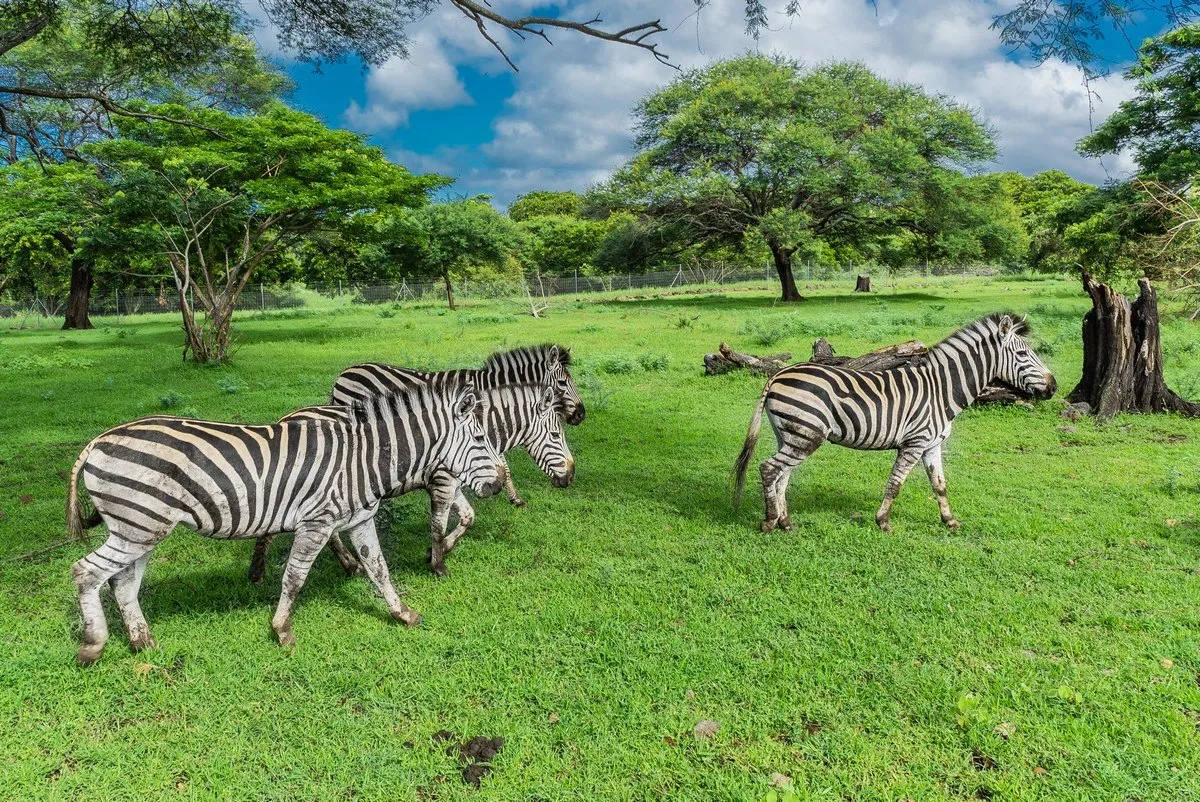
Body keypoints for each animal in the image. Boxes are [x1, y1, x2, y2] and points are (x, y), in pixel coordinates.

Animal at [66, 384, 506, 665]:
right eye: (481, 439)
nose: (500, 485)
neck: (363, 459)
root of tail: (98, 441)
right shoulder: (318, 521)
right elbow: (294, 578)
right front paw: (281, 631)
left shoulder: (359, 520)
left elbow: (379, 570)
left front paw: (403, 615)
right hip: (137, 524)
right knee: (85, 572)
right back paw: (93, 647)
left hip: (143, 529)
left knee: (122, 582)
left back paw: (143, 642)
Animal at [250, 381, 576, 580]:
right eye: (556, 435)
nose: (571, 477)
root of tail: (285, 419)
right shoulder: (443, 482)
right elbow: (438, 524)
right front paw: (438, 563)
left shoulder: (453, 483)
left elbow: (467, 518)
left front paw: (436, 551)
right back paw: (257, 573)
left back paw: (350, 564)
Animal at [734, 314, 1056, 533]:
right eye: (1023, 354)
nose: (1054, 387)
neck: (941, 390)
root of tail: (779, 374)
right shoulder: (914, 442)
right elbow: (895, 484)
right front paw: (883, 521)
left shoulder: (932, 445)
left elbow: (940, 485)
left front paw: (949, 520)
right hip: (805, 435)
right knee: (769, 469)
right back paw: (769, 521)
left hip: (792, 435)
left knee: (782, 475)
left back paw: (786, 523)